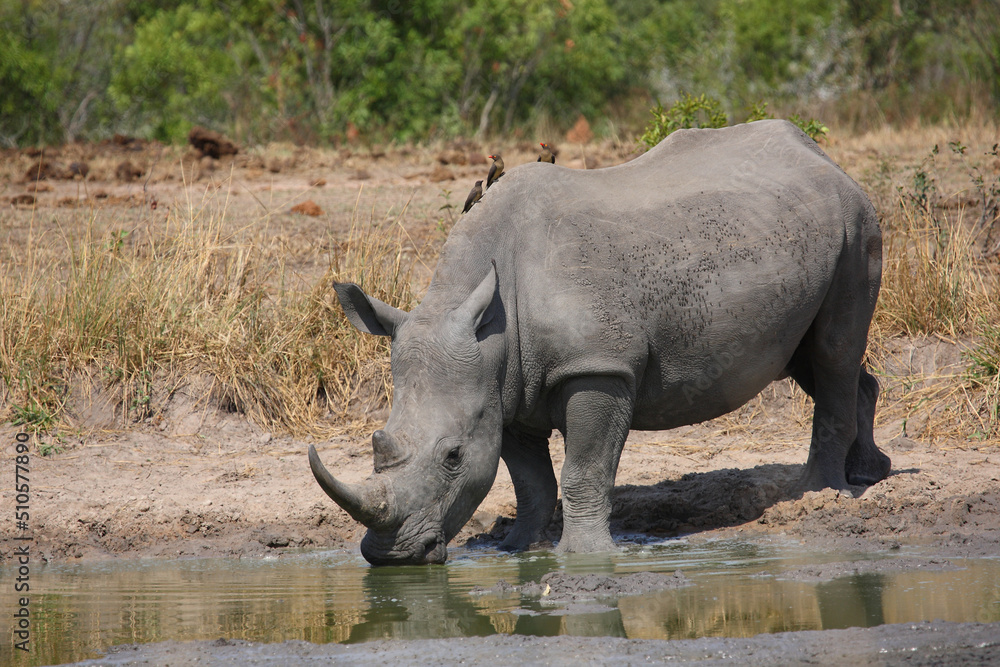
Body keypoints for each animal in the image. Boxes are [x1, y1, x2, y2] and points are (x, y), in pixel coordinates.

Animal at [309, 119, 890, 565]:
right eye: (379, 442)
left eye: (453, 457)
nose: (389, 555)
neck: (487, 324)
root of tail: (824, 157)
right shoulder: (504, 388)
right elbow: (530, 480)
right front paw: (518, 548)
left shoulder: (597, 366)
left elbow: (582, 470)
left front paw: (583, 557)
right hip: (796, 229)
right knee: (810, 359)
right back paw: (868, 474)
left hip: (856, 221)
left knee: (833, 352)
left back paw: (819, 495)